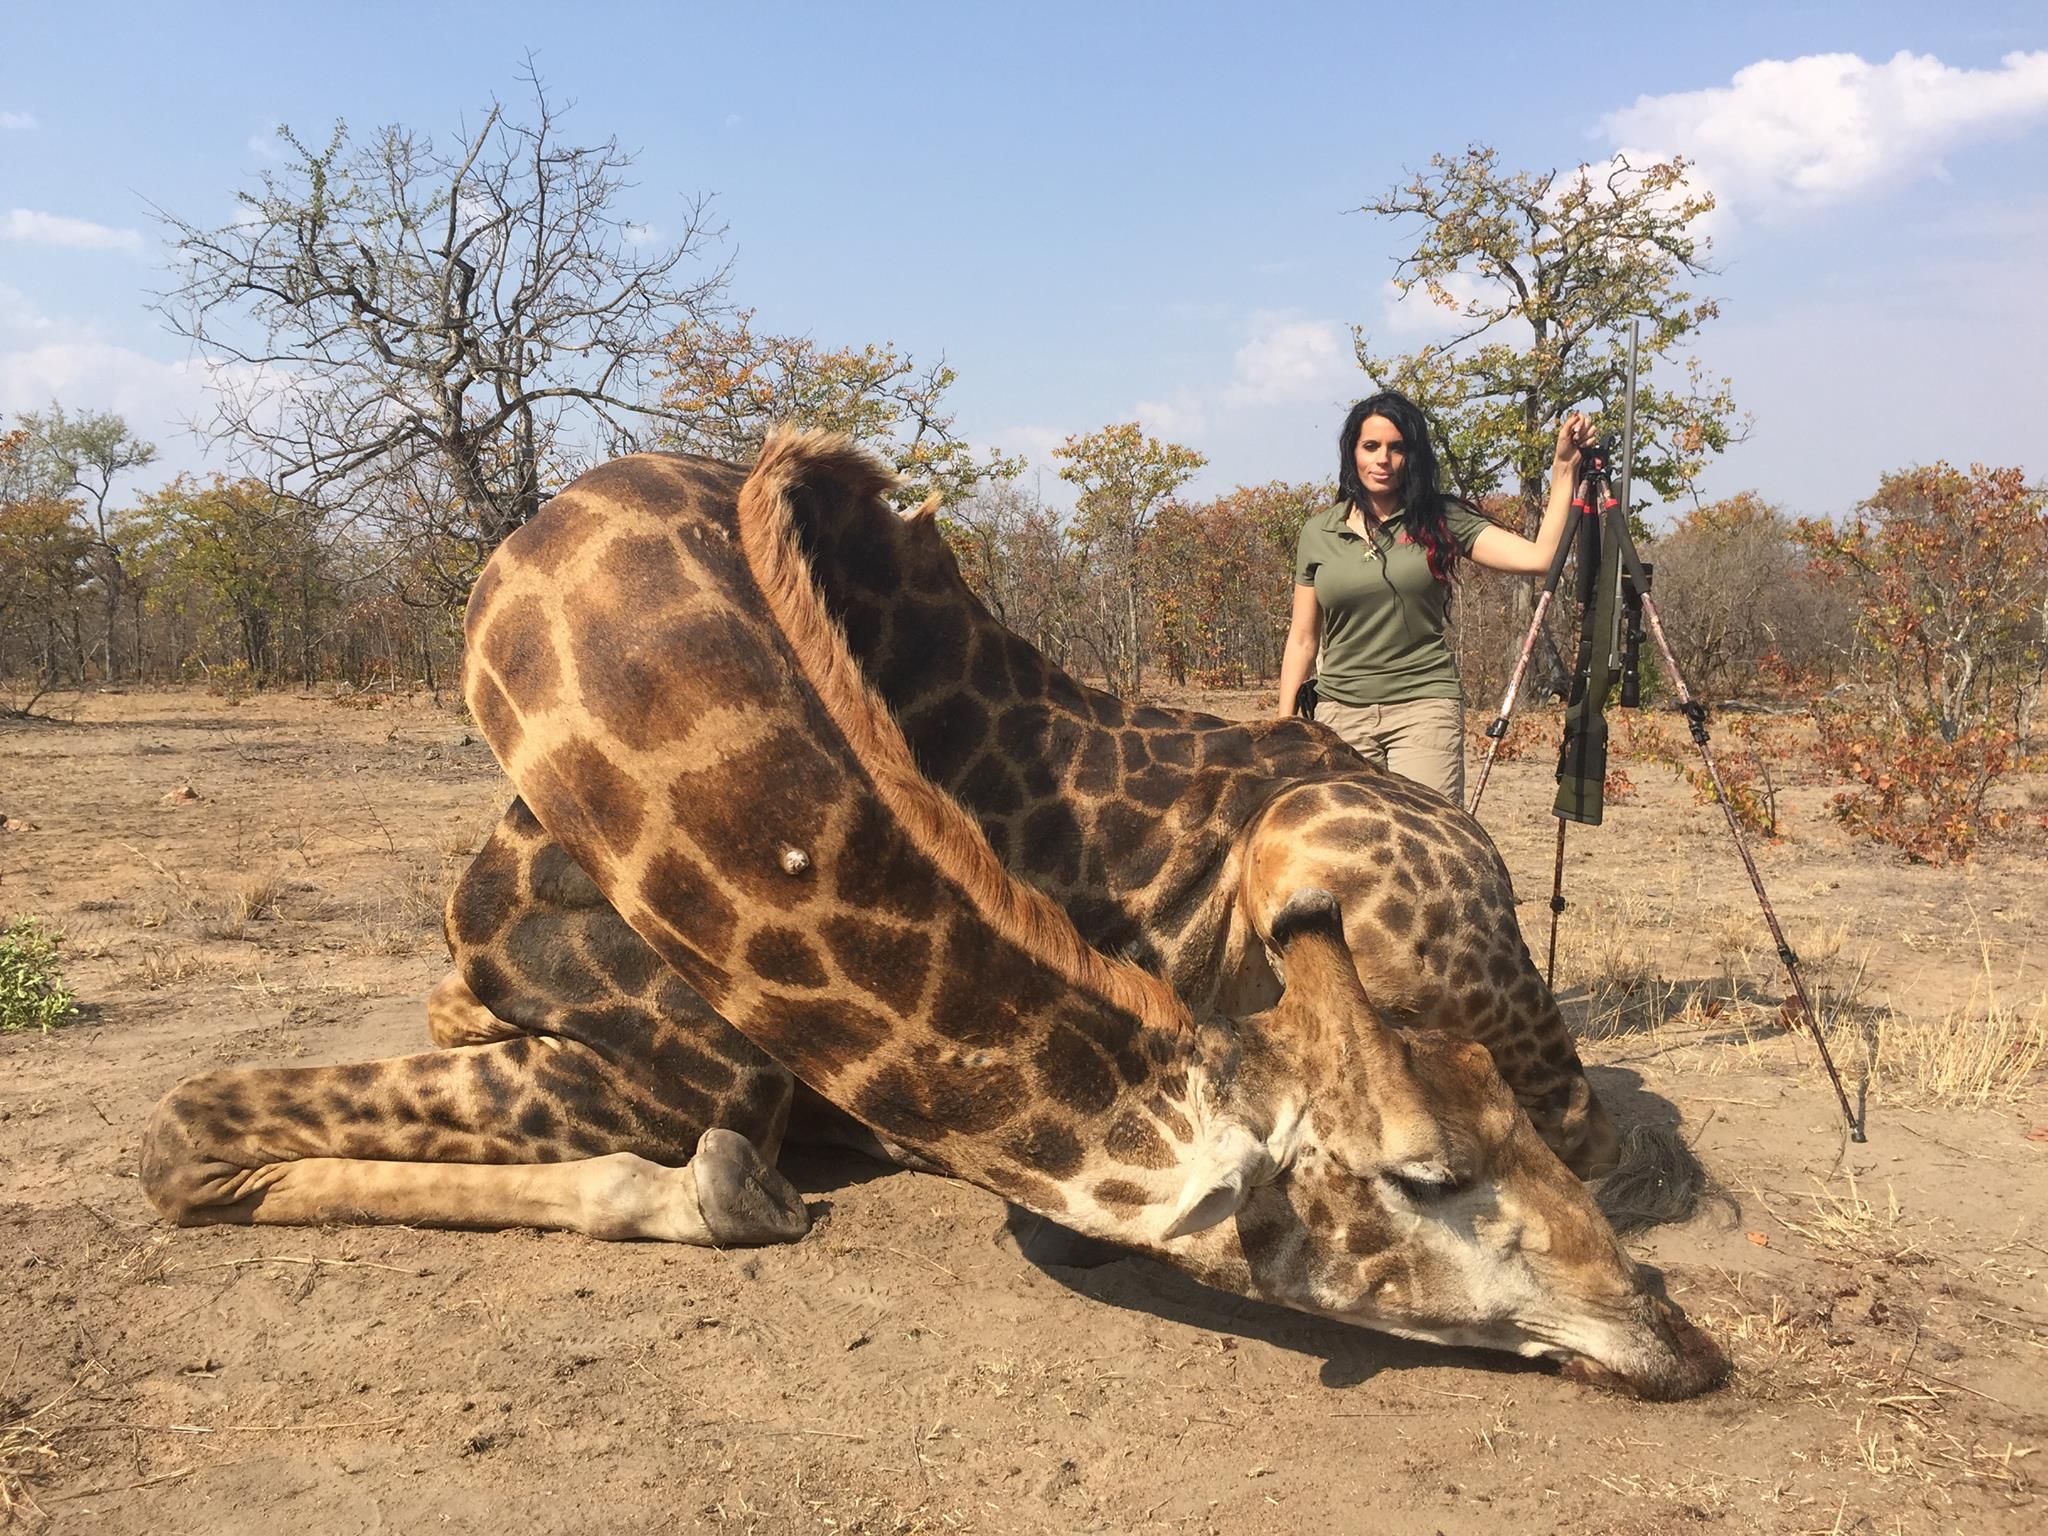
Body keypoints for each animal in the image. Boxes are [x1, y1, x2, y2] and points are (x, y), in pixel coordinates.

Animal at [136, 436, 1720, 1409]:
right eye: (1427, 1175)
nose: (1673, 1333)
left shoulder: (691, 1072)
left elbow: (184, 1131)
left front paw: (725, 1193)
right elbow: (187, 1132)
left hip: (1316, 862)